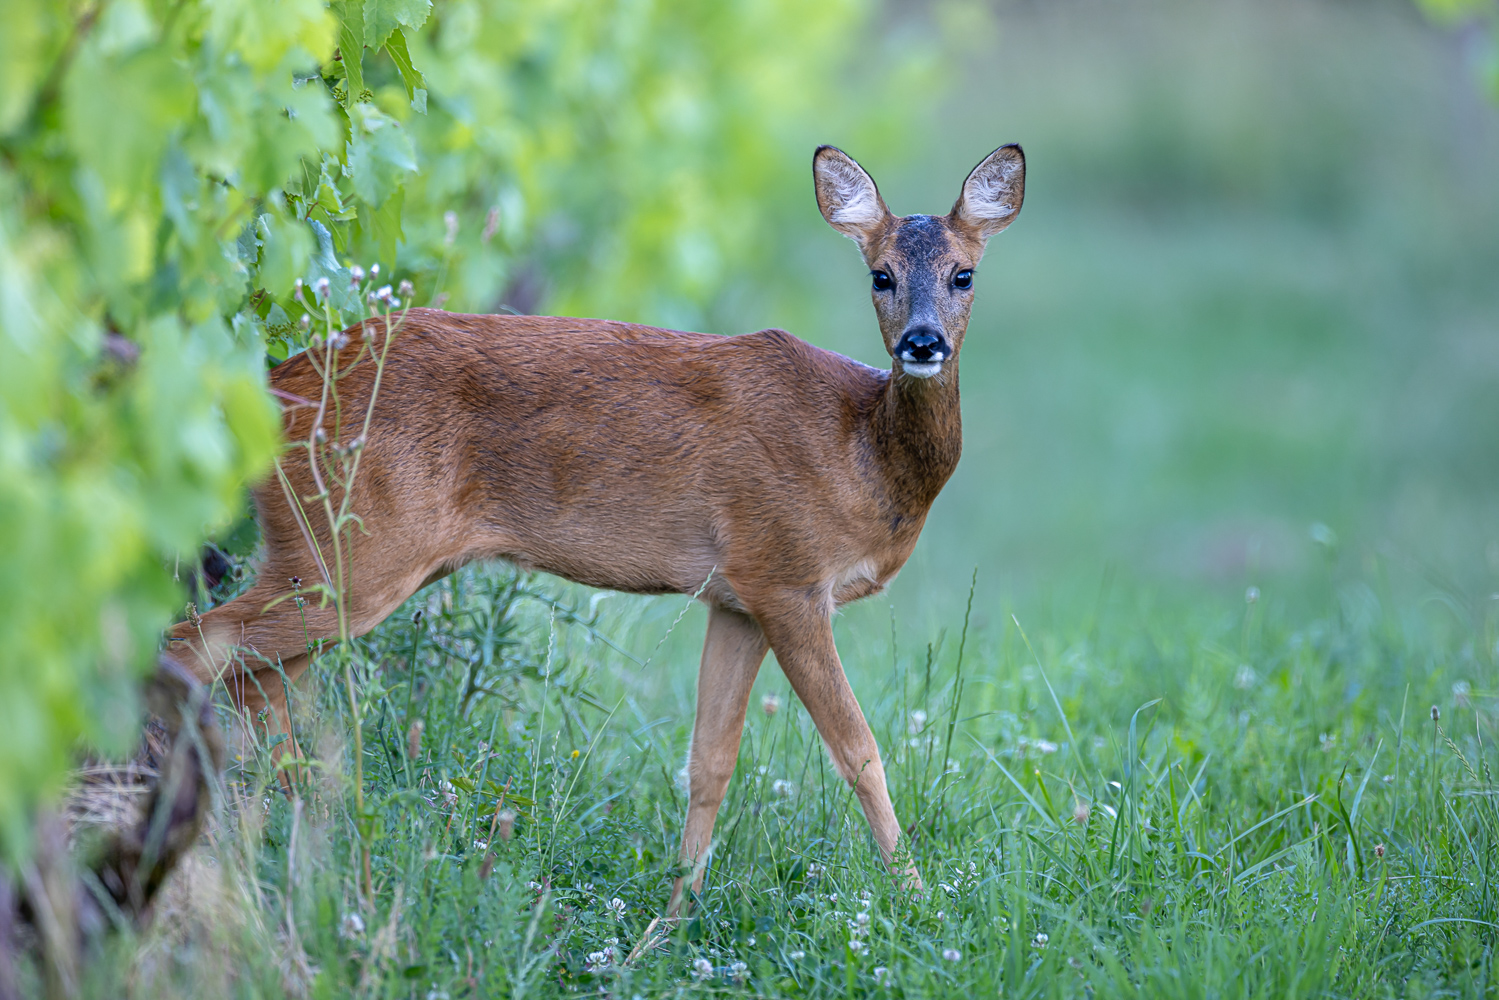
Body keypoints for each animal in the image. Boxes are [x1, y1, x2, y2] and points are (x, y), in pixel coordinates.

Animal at [170, 142, 1025, 917]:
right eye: (879, 274)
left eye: (964, 274)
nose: (922, 343)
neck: (861, 451)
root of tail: (269, 387)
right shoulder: (787, 573)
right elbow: (859, 749)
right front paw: (920, 904)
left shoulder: (737, 596)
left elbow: (709, 762)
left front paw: (671, 920)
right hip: (351, 547)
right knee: (197, 645)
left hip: (330, 555)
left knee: (258, 678)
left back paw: (287, 844)